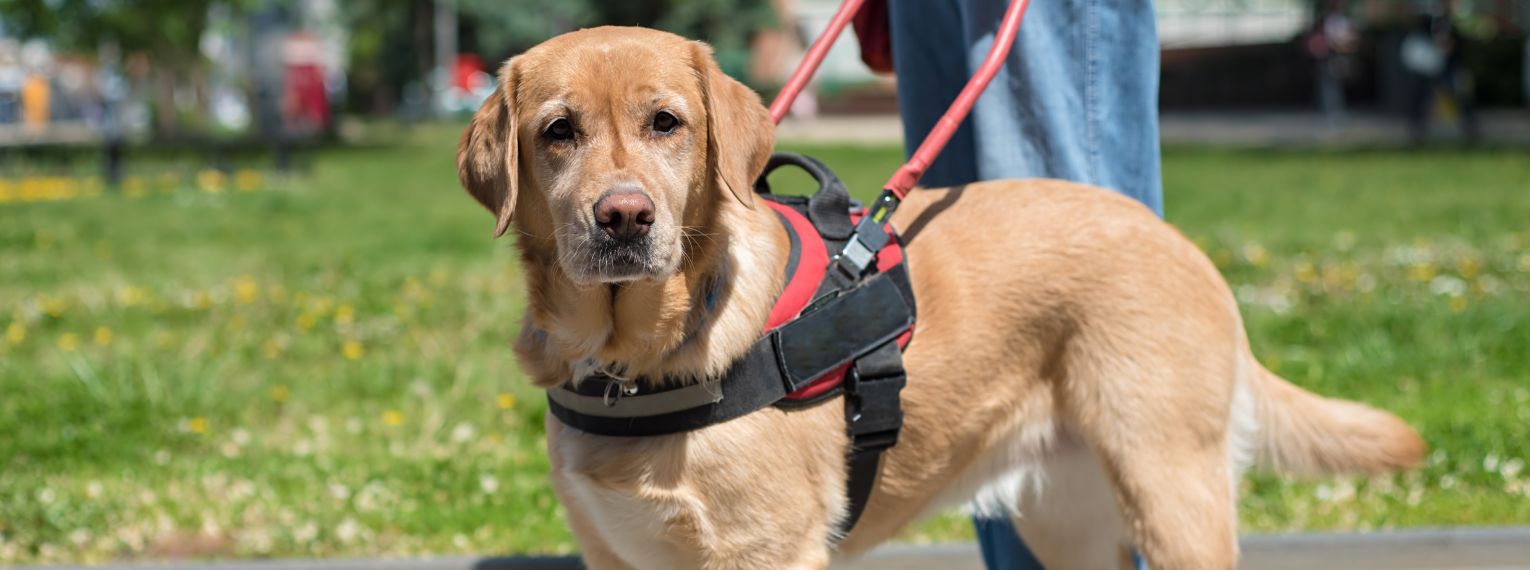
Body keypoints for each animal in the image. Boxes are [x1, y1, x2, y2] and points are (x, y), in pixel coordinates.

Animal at [449, 26, 1419, 568]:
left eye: (666, 124)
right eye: (558, 131)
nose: (623, 217)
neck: (630, 362)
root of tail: (1171, 235)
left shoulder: (765, 553)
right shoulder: (614, 553)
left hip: (1173, 490)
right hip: (1069, 519)